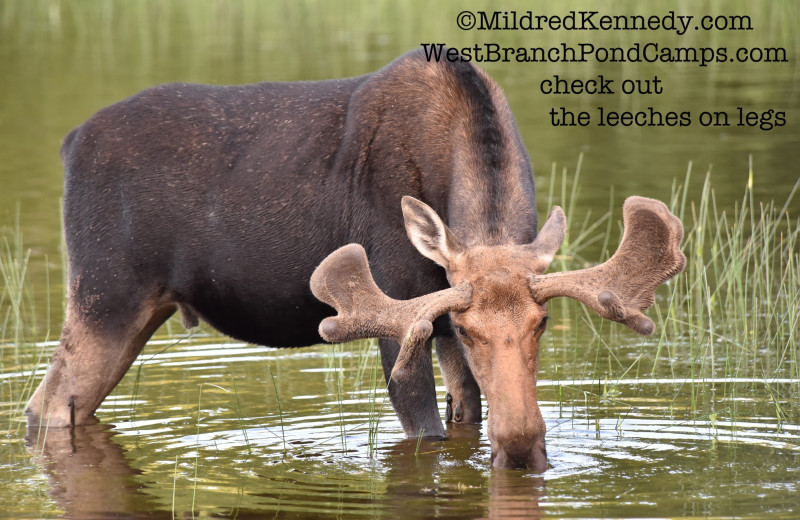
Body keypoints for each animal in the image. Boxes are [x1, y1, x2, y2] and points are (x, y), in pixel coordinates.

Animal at [26, 48, 688, 472]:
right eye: (470, 329)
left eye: (543, 323)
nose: (524, 448)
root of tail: (67, 145)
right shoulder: (403, 317)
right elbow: (424, 433)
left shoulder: (436, 322)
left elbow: (464, 419)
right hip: (105, 294)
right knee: (45, 403)